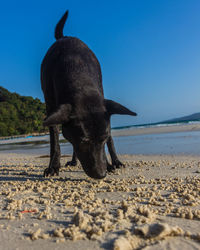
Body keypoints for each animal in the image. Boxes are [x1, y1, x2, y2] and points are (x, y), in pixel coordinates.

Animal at [41, 10, 137, 179]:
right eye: (84, 141)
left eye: (103, 138)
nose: (101, 174)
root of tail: (65, 36)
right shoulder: (51, 106)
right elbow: (55, 141)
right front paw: (53, 167)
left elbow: (109, 140)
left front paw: (110, 164)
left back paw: (115, 162)